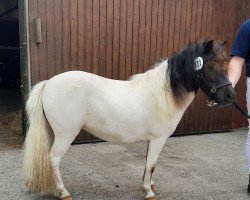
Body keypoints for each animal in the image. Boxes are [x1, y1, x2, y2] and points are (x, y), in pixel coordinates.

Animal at [23, 39, 234, 200]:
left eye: (225, 65)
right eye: (209, 66)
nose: (229, 96)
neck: (163, 93)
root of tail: (49, 83)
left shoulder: (151, 141)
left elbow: (149, 165)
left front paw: (149, 185)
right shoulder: (158, 139)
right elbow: (152, 164)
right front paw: (148, 192)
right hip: (65, 135)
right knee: (54, 158)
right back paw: (64, 192)